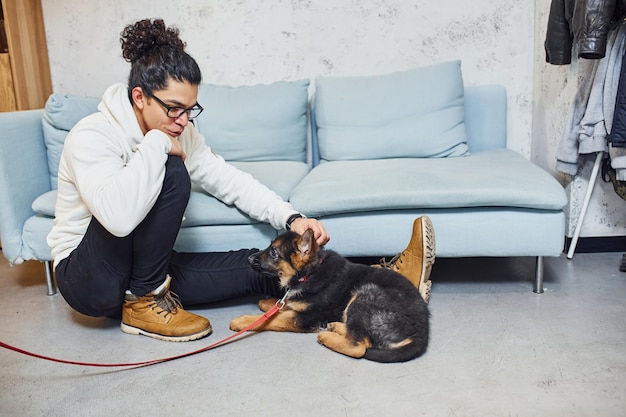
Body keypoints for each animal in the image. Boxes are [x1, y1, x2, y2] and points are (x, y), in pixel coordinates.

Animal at [229, 228, 428, 360]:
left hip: (364, 296)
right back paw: (335, 326)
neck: (309, 273)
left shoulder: (304, 317)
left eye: (274, 252)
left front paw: (243, 321)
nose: (248, 259)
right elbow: (281, 304)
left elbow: (271, 319)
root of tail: (422, 332)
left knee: (359, 346)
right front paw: (267, 302)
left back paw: (327, 337)